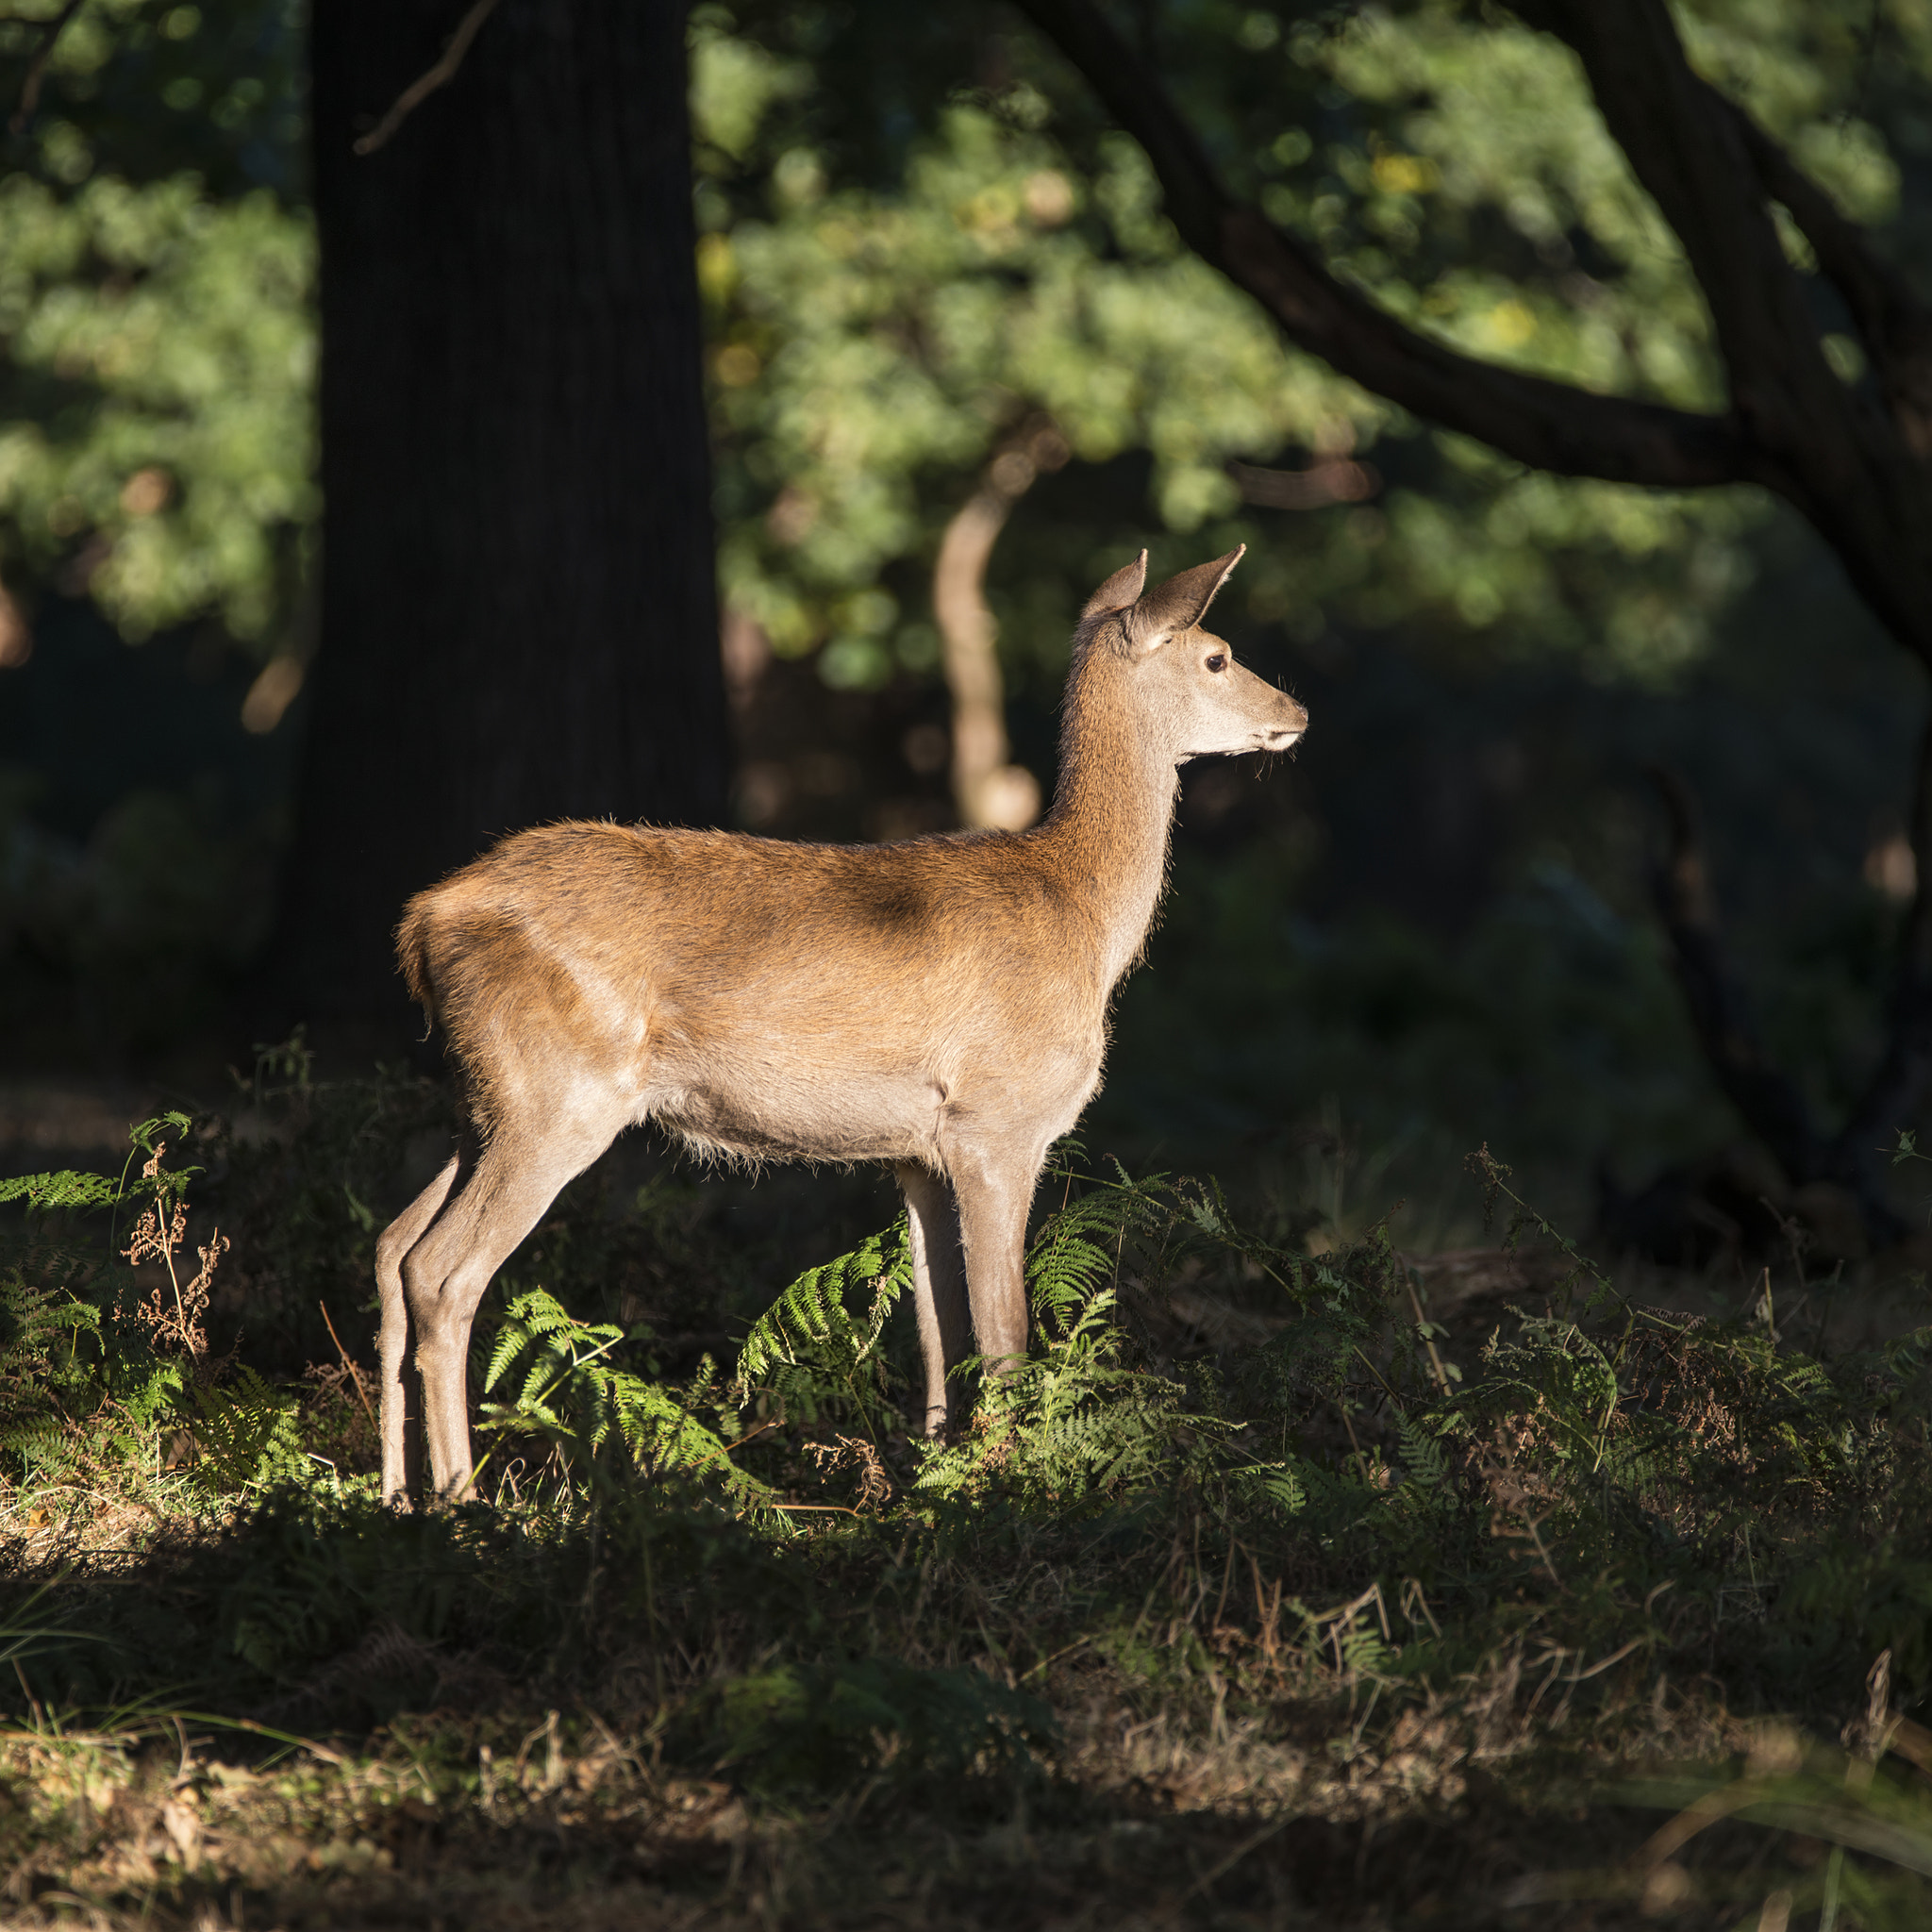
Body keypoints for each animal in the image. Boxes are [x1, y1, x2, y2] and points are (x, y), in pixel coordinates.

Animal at [375, 546, 1307, 1507]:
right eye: (1217, 656)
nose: (1297, 712)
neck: (1084, 918)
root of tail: (423, 923)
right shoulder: (998, 1122)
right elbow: (1003, 1332)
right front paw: (1009, 1484)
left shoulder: (919, 1152)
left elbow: (939, 1328)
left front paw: (934, 1477)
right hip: (558, 1097)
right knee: (443, 1269)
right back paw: (461, 1498)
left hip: (487, 1101)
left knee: (392, 1245)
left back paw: (394, 1494)